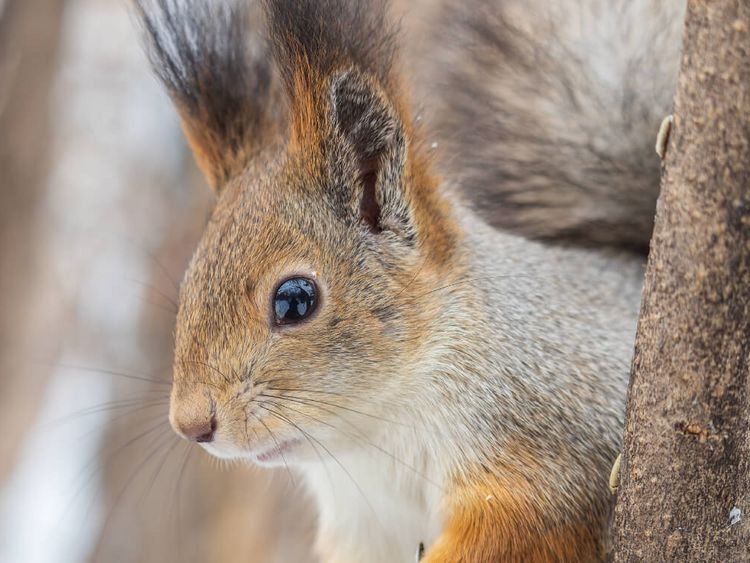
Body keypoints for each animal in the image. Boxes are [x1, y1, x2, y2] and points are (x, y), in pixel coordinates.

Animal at [133, 0, 684, 561]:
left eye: (294, 301)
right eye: (188, 285)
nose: (192, 424)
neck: (373, 438)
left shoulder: (548, 448)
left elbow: (520, 526)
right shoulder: (361, 525)